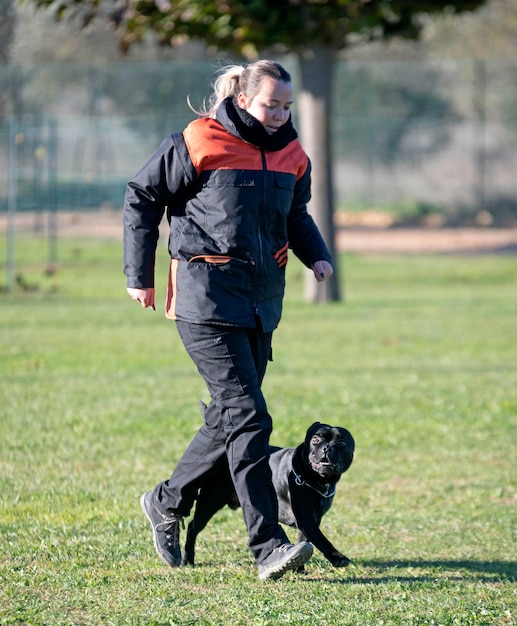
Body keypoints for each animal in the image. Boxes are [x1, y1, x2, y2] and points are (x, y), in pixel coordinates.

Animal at [181, 422, 354, 568]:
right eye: (316, 439)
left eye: (342, 443)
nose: (327, 448)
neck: (317, 480)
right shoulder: (306, 520)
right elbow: (322, 540)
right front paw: (338, 558)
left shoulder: (311, 520)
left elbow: (305, 541)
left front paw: (299, 568)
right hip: (210, 502)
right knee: (192, 528)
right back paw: (187, 560)